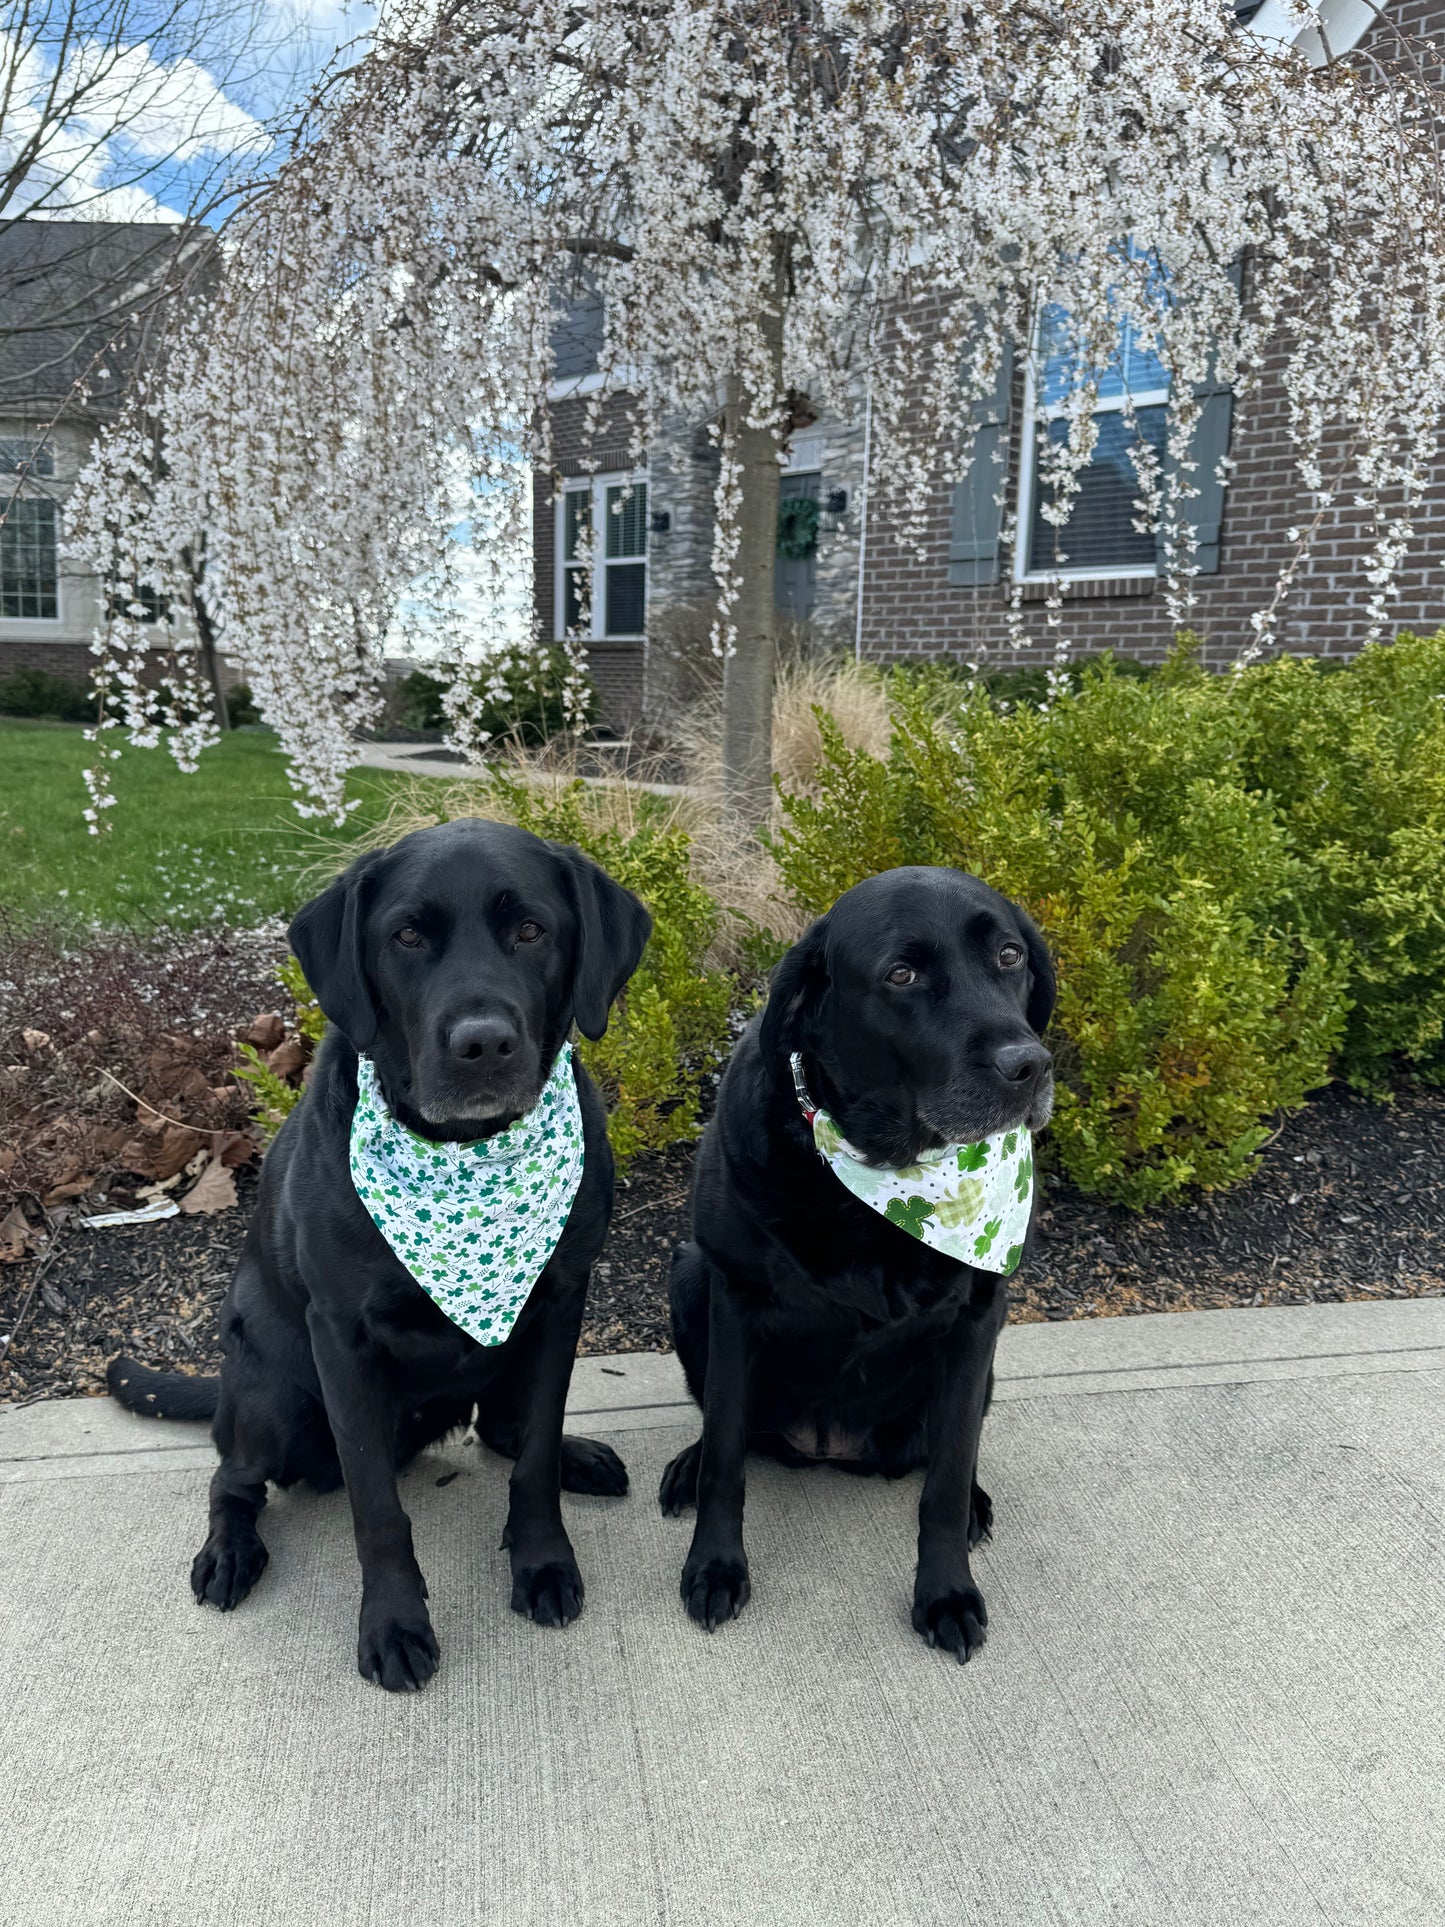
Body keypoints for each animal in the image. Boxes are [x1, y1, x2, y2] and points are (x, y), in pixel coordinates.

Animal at [110, 820, 655, 1695]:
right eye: (406, 936)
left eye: (530, 929)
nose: (483, 1042)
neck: (465, 1155)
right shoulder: (342, 1339)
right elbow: (376, 1508)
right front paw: (394, 1623)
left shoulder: (561, 1302)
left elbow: (534, 1454)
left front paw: (542, 1560)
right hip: (271, 1394)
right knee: (232, 1476)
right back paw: (229, 1552)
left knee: (507, 1429)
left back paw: (580, 1456)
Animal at [658, 867, 1055, 1664]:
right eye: (901, 974)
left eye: (1008, 956)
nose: (1029, 1066)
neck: (887, 1173)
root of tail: (829, 1450)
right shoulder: (733, 1297)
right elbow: (724, 1456)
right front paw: (714, 1566)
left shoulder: (977, 1318)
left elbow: (944, 1480)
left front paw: (945, 1592)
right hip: (688, 1278)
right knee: (727, 1427)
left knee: (948, 1450)